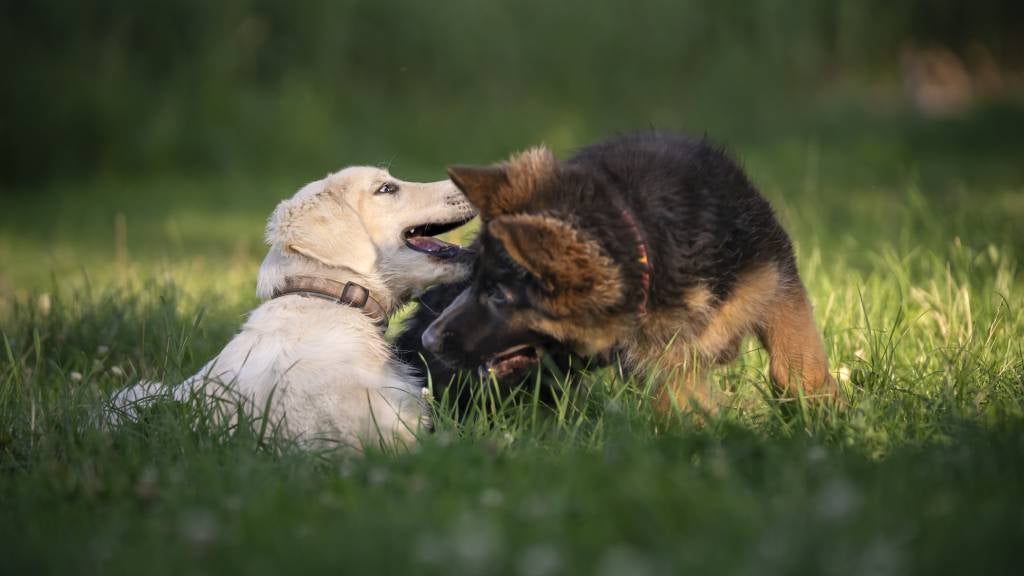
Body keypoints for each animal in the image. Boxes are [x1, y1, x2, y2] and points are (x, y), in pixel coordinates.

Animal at [415, 133, 839, 412]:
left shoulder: (775, 276)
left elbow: (797, 357)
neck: (645, 244)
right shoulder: (663, 364)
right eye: (477, 282)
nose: (428, 340)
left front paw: (817, 410)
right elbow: (689, 408)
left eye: (499, 295)